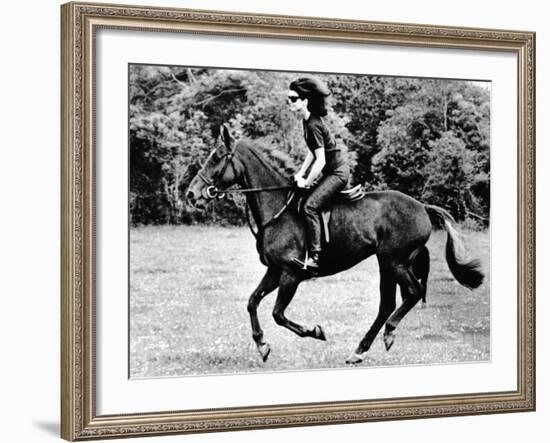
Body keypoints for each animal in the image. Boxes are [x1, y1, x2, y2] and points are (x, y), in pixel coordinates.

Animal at [188, 125, 486, 364]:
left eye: (216, 157)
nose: (191, 194)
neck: (278, 209)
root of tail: (422, 207)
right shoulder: (274, 271)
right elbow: (252, 302)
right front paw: (262, 345)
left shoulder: (291, 274)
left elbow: (278, 314)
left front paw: (315, 332)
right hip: (386, 264)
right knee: (387, 304)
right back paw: (359, 351)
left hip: (395, 261)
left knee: (412, 293)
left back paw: (387, 333)